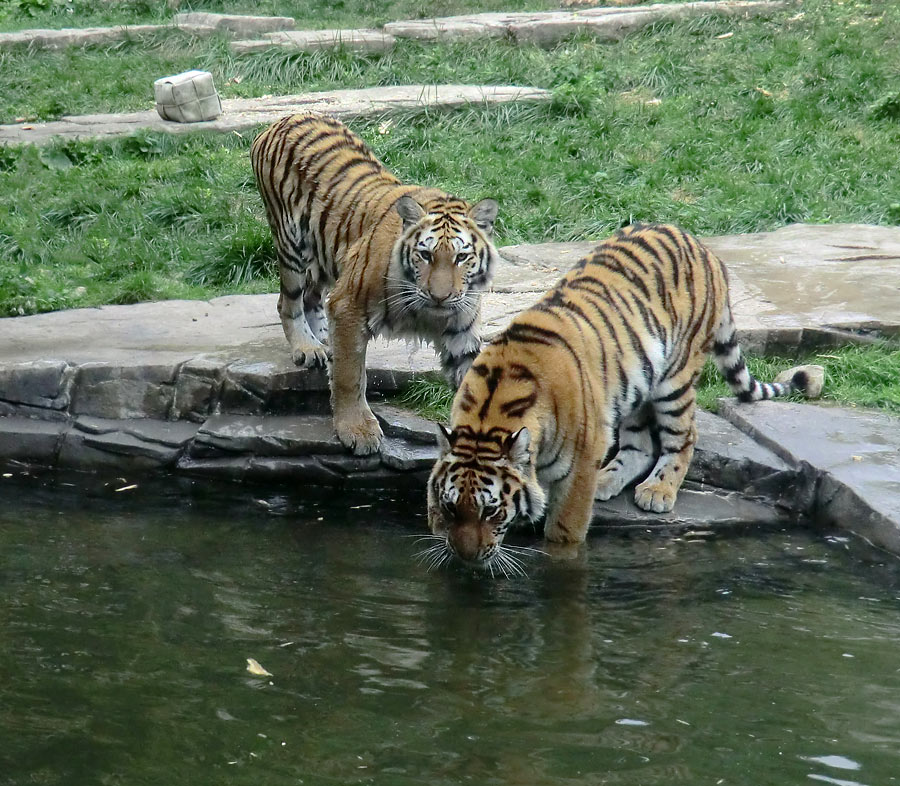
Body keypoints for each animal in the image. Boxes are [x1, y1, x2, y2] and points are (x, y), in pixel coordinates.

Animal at [250, 110, 500, 454]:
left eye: (462, 257)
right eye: (425, 255)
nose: (440, 297)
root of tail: (285, 117)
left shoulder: (461, 331)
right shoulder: (348, 306)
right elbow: (350, 375)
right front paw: (357, 431)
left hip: (325, 254)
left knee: (313, 298)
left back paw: (322, 340)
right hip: (292, 243)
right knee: (288, 302)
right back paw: (308, 347)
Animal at [428, 224, 824, 568]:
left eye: (491, 511)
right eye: (452, 507)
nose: (467, 557)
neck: (490, 412)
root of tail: (701, 245)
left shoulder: (580, 463)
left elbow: (564, 531)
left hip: (675, 379)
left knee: (684, 436)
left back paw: (658, 491)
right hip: (633, 383)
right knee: (641, 445)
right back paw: (607, 480)